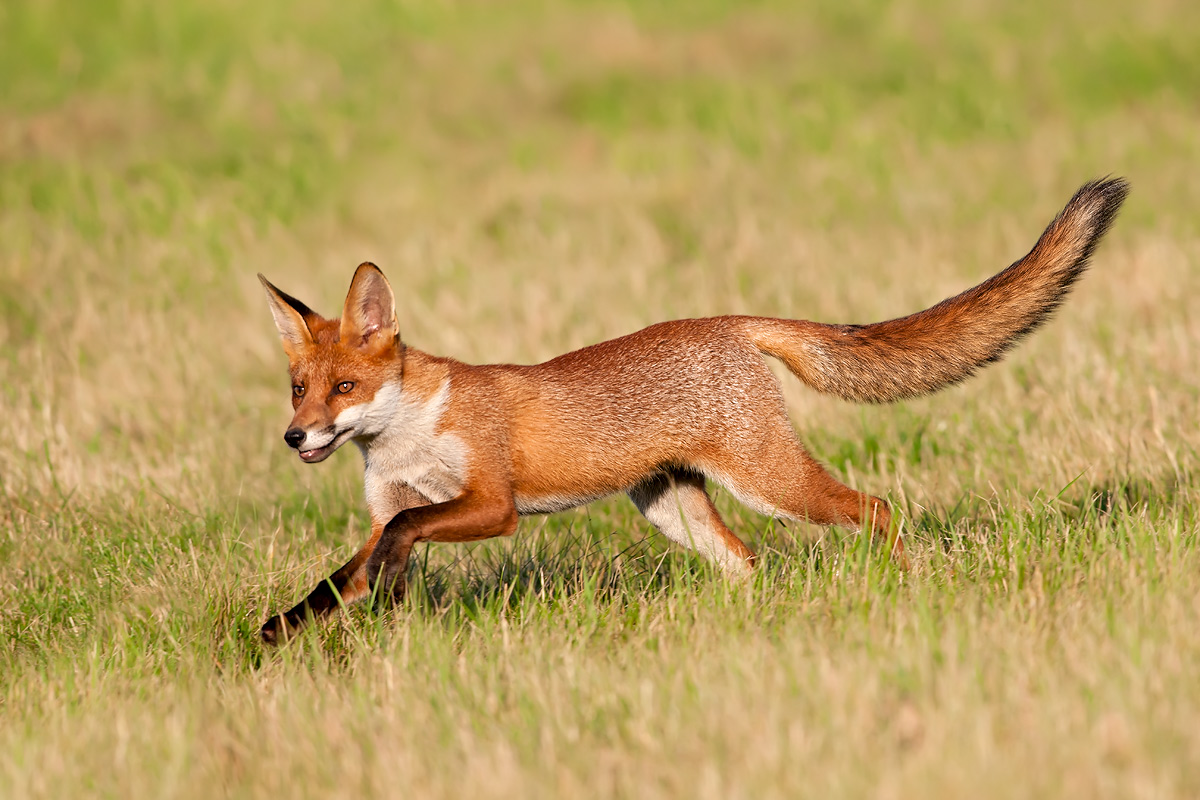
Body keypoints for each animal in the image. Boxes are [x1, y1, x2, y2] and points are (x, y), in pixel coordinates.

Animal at [257, 177, 1128, 644]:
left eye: (345, 389)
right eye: (299, 387)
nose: (296, 436)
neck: (403, 438)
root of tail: (728, 320)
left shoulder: (492, 504)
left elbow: (405, 535)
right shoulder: (385, 509)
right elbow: (348, 572)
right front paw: (282, 630)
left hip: (769, 482)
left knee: (876, 508)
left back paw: (905, 587)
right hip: (672, 504)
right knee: (747, 563)